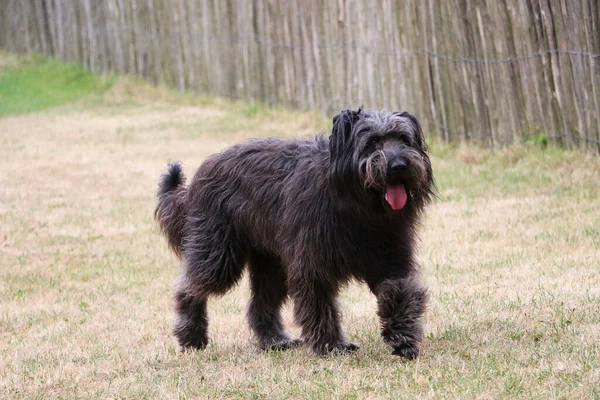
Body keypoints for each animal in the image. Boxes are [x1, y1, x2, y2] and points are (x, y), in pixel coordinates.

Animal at [155, 107, 436, 360]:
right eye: (373, 142)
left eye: (404, 139)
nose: (398, 165)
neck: (357, 207)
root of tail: (199, 176)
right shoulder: (313, 263)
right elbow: (319, 304)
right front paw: (330, 346)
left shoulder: (391, 257)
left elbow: (399, 292)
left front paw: (403, 339)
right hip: (219, 255)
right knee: (189, 287)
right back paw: (191, 336)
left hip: (272, 263)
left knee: (261, 303)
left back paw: (274, 340)